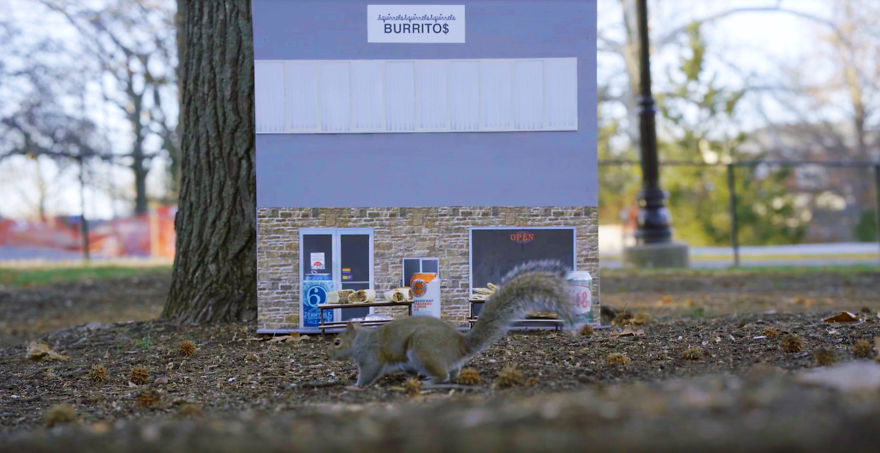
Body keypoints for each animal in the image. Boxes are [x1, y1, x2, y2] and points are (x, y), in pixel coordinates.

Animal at [329, 260, 585, 387]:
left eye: (337, 341)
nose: (329, 353)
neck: (362, 339)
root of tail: (461, 345)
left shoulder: (371, 357)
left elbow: (368, 374)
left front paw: (354, 386)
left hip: (422, 350)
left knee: (443, 376)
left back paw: (431, 381)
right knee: (452, 373)